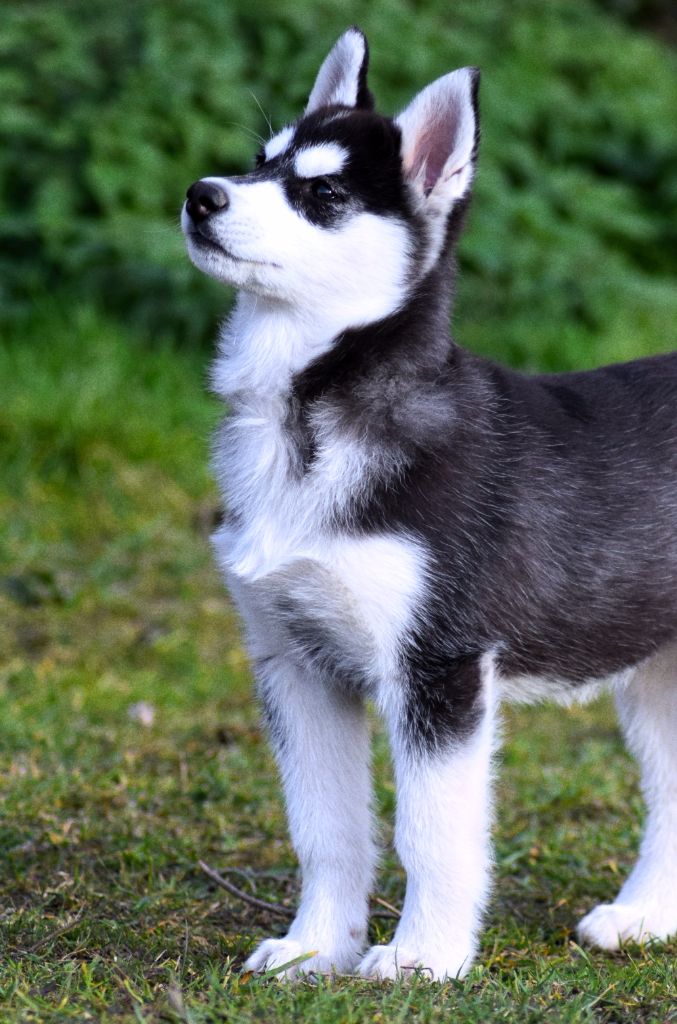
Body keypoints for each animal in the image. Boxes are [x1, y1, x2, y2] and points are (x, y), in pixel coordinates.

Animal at [181, 28, 675, 978]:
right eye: (261, 163)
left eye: (324, 192)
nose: (200, 194)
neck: (305, 415)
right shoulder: (293, 664)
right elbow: (326, 830)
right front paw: (314, 949)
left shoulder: (438, 669)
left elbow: (430, 835)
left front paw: (422, 960)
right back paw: (641, 918)